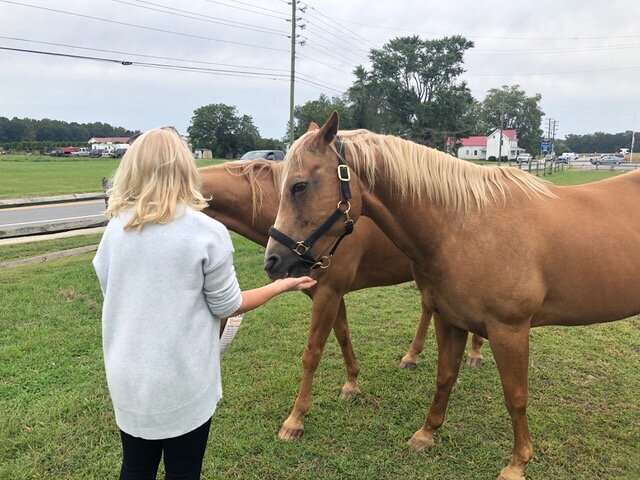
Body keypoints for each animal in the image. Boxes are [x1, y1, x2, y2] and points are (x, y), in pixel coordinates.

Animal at [198, 160, 482, 438]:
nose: (272, 263)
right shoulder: (331, 296)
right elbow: (343, 336)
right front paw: (352, 385)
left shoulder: (328, 295)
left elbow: (312, 353)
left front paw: (295, 420)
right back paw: (412, 357)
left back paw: (474, 353)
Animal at [264, 110, 640, 478]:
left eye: (299, 186)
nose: (273, 261)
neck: (462, 226)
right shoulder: (450, 320)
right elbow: (445, 377)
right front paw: (427, 433)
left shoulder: (510, 330)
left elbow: (515, 396)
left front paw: (518, 463)